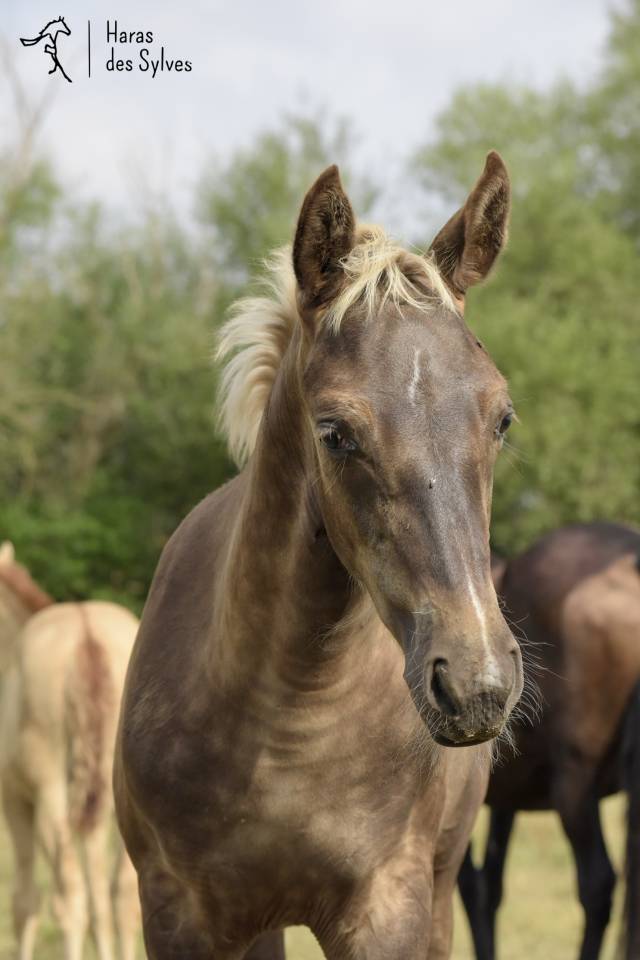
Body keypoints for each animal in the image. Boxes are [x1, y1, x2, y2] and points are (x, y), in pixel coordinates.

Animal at [0, 542, 140, 960]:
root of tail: (87, 636)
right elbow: (101, 900)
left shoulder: (14, 800)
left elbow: (25, 901)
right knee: (120, 897)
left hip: (51, 800)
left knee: (69, 899)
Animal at [114, 154, 523, 960]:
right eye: (335, 432)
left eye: (501, 418)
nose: (477, 683)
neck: (284, 730)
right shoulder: (180, 914)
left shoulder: (387, 909)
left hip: (438, 887)